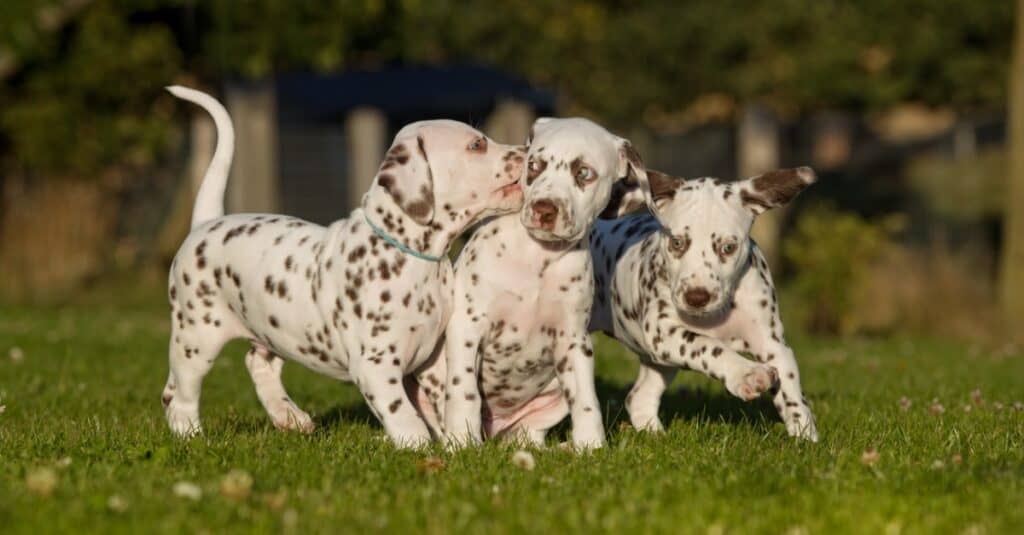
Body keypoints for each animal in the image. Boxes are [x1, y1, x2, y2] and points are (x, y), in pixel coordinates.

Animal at [161, 86, 528, 444]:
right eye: (477, 144)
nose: (527, 150)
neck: (414, 255)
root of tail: (206, 223)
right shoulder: (375, 365)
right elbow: (406, 416)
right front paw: (419, 447)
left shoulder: (433, 356)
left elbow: (445, 401)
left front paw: (457, 444)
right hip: (197, 335)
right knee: (183, 392)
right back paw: (190, 435)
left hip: (272, 330)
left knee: (253, 364)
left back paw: (288, 416)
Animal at [440, 118, 647, 446]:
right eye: (534, 166)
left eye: (583, 173)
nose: (544, 208)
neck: (536, 259)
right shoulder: (467, 326)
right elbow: (463, 390)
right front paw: (459, 442)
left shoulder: (573, 341)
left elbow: (586, 401)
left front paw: (591, 446)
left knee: (532, 434)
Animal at [589, 168, 819, 440]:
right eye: (677, 243)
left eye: (728, 247)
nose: (697, 297)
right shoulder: (663, 333)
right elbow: (708, 346)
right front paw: (746, 374)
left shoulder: (772, 345)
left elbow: (791, 392)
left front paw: (805, 437)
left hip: (658, 364)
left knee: (638, 398)